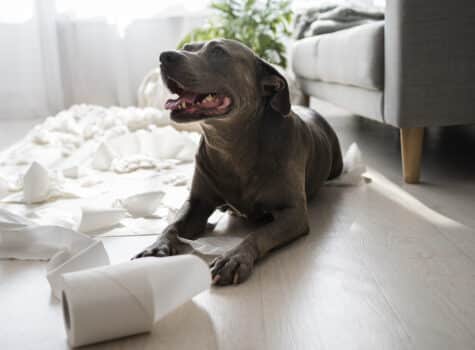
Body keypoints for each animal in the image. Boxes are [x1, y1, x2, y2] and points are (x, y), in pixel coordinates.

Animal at [134, 39, 342, 284]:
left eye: (217, 51)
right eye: (187, 47)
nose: (164, 56)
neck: (230, 147)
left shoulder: (294, 213)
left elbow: (259, 233)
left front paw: (234, 257)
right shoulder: (197, 203)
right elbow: (172, 225)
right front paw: (157, 245)